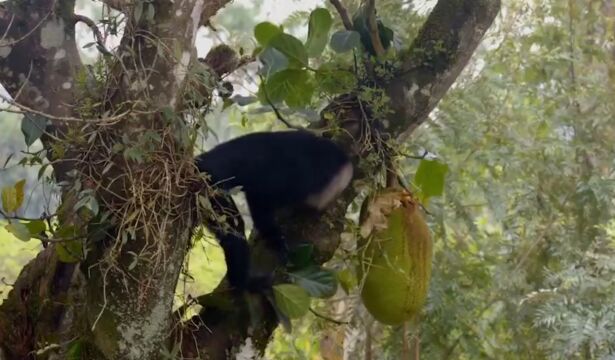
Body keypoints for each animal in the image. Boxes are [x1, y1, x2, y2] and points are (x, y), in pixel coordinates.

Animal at [195, 131, 354, 292]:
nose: (330, 199)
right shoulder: (299, 178)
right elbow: (260, 197)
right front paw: (276, 240)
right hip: (208, 187)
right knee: (233, 231)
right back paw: (243, 284)